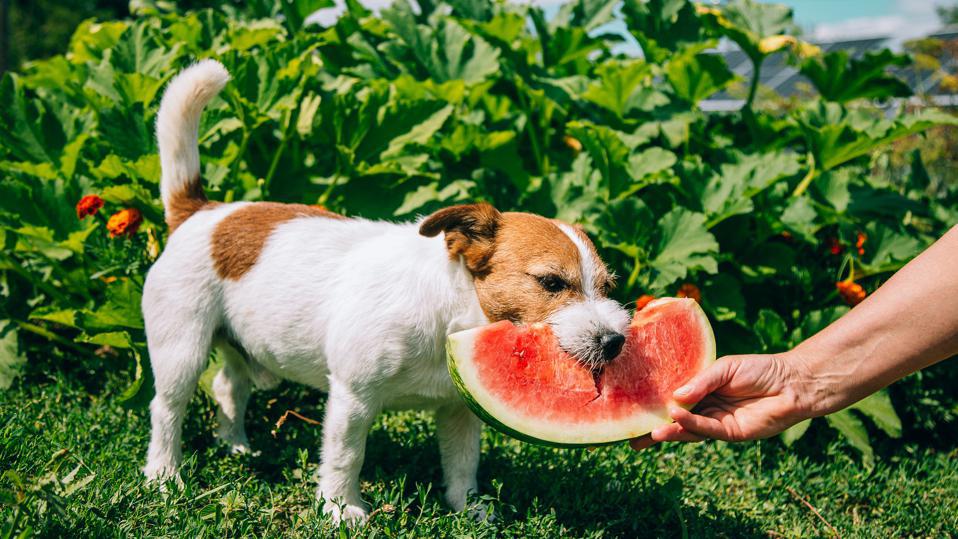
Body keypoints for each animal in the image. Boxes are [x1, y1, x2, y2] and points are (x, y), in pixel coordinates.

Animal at [141, 60, 632, 528]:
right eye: (551, 283)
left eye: (608, 287)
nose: (614, 341)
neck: (449, 315)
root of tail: (199, 211)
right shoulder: (353, 398)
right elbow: (345, 456)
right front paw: (340, 509)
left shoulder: (459, 411)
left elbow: (462, 464)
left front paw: (470, 508)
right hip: (182, 348)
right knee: (166, 408)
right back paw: (164, 476)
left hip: (240, 344)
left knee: (229, 386)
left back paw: (235, 445)